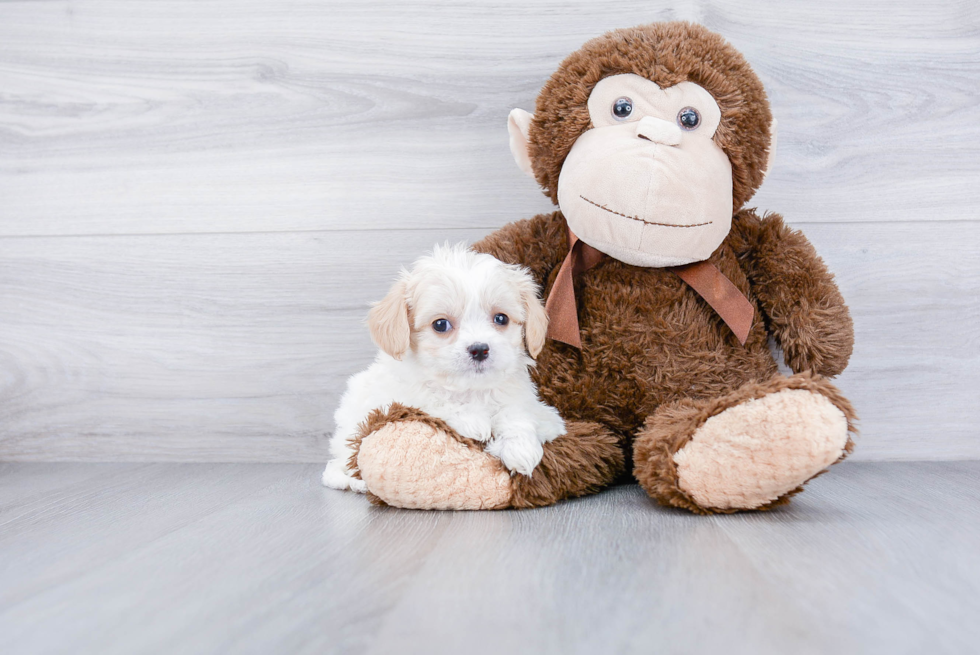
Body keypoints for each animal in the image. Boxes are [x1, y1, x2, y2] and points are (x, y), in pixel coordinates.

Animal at [324, 242, 568, 492]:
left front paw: (521, 449)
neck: (470, 391)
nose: (480, 349)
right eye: (440, 324)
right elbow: (433, 400)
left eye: (501, 318)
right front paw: (474, 422)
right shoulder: (400, 395)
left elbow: (516, 413)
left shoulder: (519, 398)